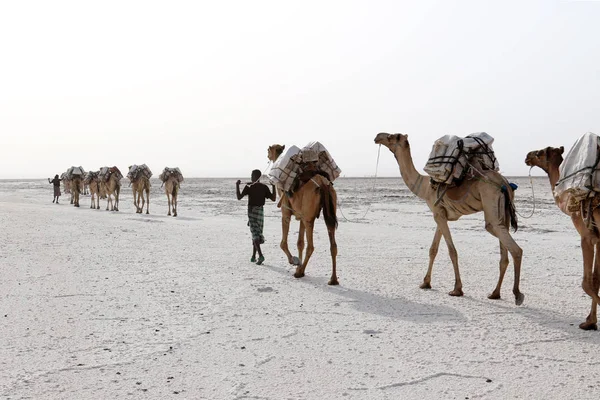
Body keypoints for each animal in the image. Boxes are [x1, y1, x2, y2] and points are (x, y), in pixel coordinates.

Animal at [266, 144, 338, 284]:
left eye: (268, 150)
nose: (268, 156)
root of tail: (323, 184)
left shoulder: (286, 212)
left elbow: (283, 243)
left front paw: (294, 261)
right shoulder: (301, 216)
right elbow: (300, 243)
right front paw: (298, 264)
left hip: (309, 217)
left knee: (311, 246)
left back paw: (299, 273)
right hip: (328, 211)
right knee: (333, 245)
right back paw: (333, 279)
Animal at [372, 133, 524, 304]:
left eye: (394, 136)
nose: (378, 136)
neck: (424, 187)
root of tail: (505, 183)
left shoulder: (438, 214)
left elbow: (452, 251)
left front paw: (457, 289)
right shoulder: (440, 214)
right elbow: (433, 249)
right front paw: (425, 283)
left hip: (491, 203)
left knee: (513, 247)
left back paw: (517, 294)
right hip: (503, 214)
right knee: (504, 253)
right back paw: (495, 293)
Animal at [524, 145, 600, 330]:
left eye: (539, 153)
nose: (527, 156)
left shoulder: (587, 236)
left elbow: (586, 283)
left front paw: (590, 321)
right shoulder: (598, 238)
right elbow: (596, 280)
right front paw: (590, 321)